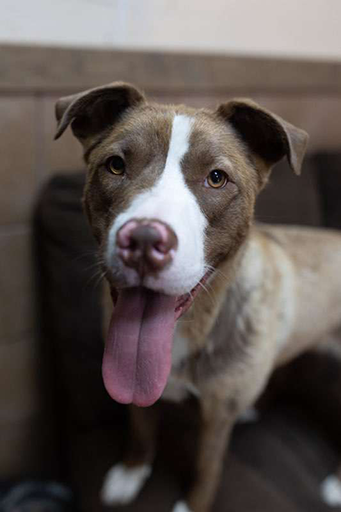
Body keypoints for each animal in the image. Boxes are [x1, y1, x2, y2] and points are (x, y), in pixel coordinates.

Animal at [53, 82, 340, 510]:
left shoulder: (215, 418)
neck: (191, 327)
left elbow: (207, 466)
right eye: (116, 165)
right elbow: (141, 427)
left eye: (217, 178)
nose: (143, 240)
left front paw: (192, 504)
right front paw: (131, 473)